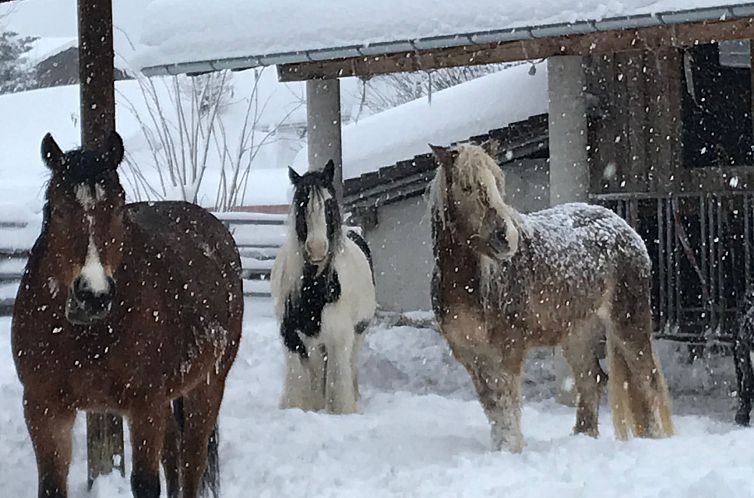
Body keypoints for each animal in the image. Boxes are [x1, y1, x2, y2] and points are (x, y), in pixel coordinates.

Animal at [12, 132, 243, 498]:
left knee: (191, 460)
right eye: (59, 210)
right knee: (174, 453)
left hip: (209, 384)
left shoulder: (145, 405)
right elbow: (51, 486)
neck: (87, 335)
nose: (93, 295)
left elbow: (146, 484)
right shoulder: (44, 408)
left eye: (119, 207)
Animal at [271, 160, 376, 414]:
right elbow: (301, 382)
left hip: (359, 332)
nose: (317, 248)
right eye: (301, 204)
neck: (313, 291)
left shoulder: (338, 336)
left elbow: (337, 380)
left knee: (351, 366)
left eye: (328, 203)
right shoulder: (292, 337)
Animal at [428, 142, 674, 452]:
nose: (505, 238)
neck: (471, 283)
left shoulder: (509, 348)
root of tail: (625, 228)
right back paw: (583, 438)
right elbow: (492, 404)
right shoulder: (469, 353)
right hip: (578, 334)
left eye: (497, 183)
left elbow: (507, 402)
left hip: (628, 322)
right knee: (592, 380)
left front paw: (511, 449)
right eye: (466, 187)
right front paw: (500, 448)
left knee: (645, 381)